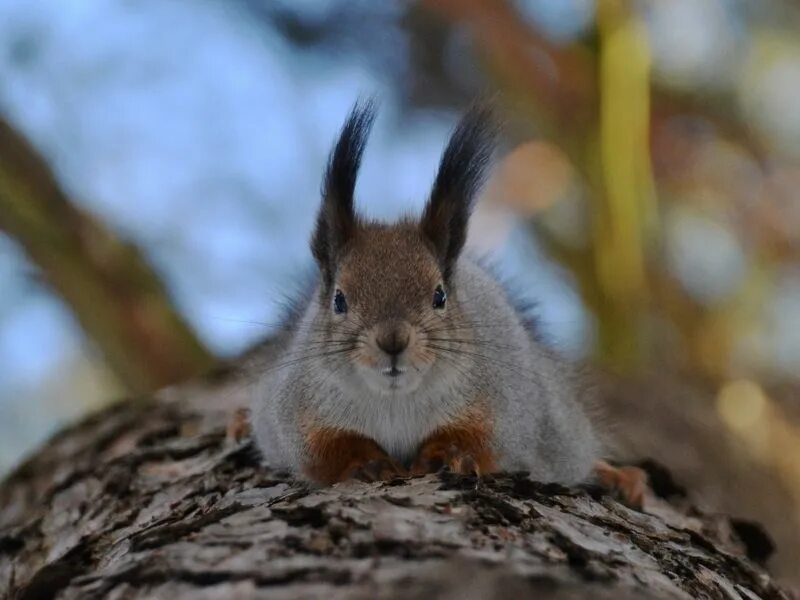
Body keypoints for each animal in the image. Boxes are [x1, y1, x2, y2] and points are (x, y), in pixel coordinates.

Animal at [253, 102, 648, 506]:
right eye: (339, 300)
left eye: (439, 295)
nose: (393, 341)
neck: (395, 401)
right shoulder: (296, 415)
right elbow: (326, 449)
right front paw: (366, 462)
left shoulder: (501, 407)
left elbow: (476, 438)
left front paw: (447, 455)